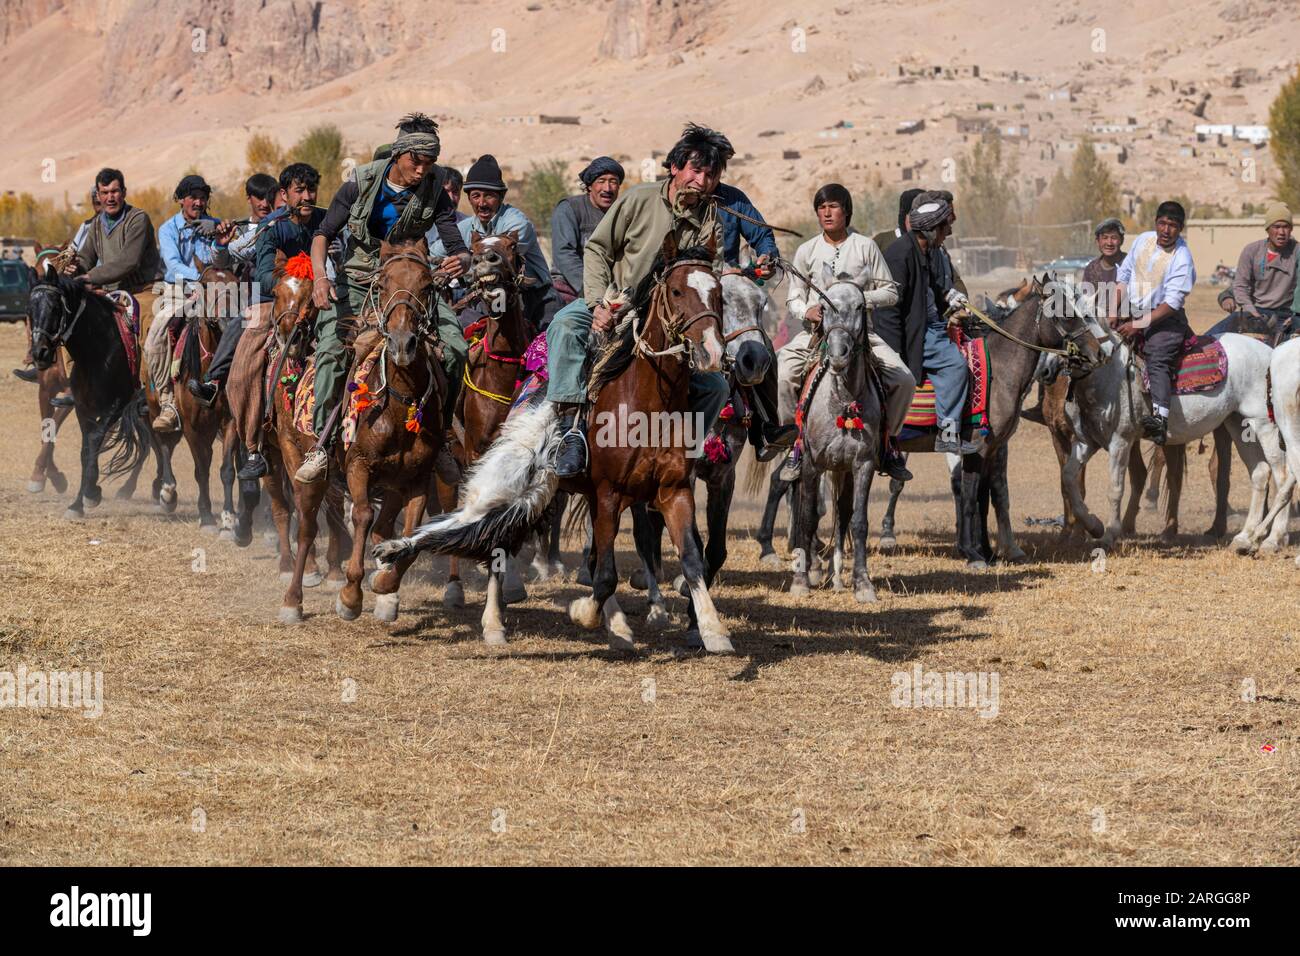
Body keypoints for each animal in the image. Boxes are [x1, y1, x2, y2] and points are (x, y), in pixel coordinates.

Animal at [26, 264, 151, 515]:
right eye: (30, 310)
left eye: (55, 308)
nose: (39, 353)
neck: (98, 351)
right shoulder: (82, 407)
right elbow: (85, 448)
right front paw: (79, 502)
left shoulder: (118, 405)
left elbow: (94, 441)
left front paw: (91, 493)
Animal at [335, 236, 447, 624]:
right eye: (382, 285)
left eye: (427, 286)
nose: (402, 344)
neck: (400, 408)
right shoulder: (357, 465)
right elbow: (362, 514)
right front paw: (350, 595)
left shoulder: (417, 480)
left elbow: (411, 534)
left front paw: (385, 583)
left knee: (385, 528)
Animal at [377, 232, 738, 655]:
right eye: (678, 291)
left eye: (719, 296)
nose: (711, 352)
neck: (647, 404)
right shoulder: (609, 494)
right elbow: (605, 575)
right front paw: (584, 613)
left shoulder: (673, 490)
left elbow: (690, 559)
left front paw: (711, 629)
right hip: (505, 481)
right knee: (471, 529)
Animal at [631, 270, 774, 629]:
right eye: (727, 302)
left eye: (762, 303)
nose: (755, 362)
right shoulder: (688, 477)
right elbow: (688, 540)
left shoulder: (723, 477)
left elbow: (717, 548)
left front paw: (694, 609)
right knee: (643, 534)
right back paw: (653, 600)